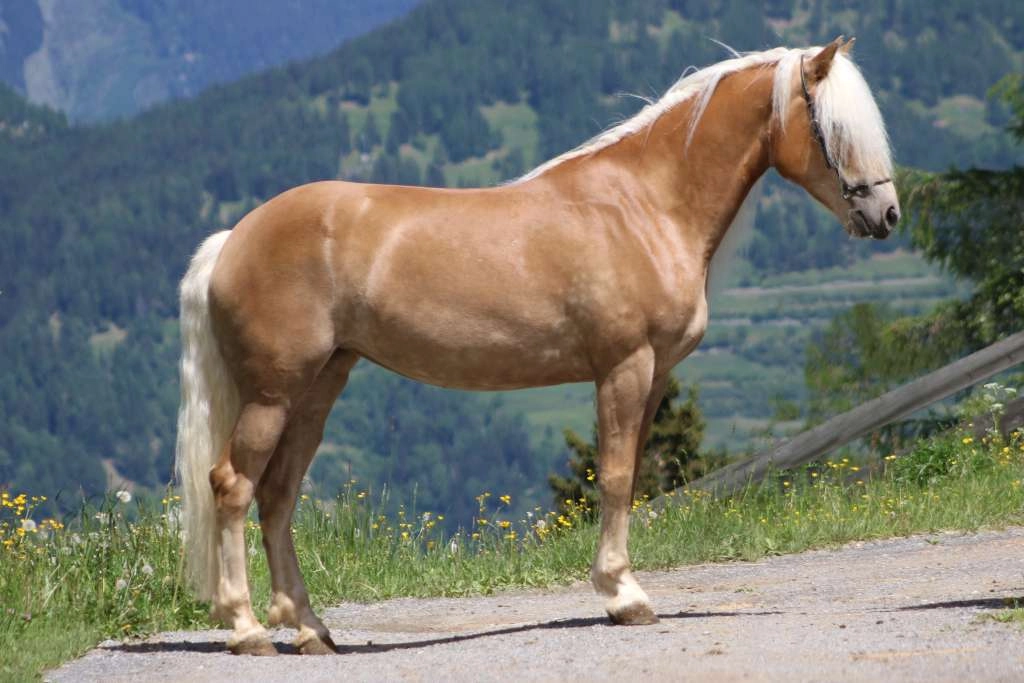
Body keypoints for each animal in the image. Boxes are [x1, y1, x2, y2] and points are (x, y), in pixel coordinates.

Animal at [175, 37, 898, 655]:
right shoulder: (624, 367)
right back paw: (246, 629)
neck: (645, 205)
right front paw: (623, 595)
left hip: (319, 387)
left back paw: (310, 628)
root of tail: (233, 239)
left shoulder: (656, 374)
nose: (886, 215)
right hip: (274, 394)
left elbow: (630, 474)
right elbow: (614, 476)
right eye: (833, 128)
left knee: (278, 496)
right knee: (233, 486)